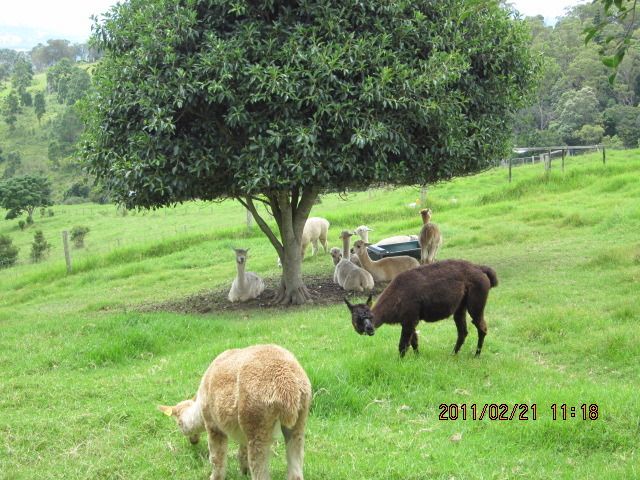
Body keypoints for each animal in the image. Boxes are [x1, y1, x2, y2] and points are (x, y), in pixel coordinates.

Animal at [158, 344, 312, 480]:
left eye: (178, 424)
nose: (193, 441)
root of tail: (287, 386)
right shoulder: (243, 432)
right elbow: (242, 452)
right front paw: (243, 472)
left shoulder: (213, 425)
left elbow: (216, 458)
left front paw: (215, 477)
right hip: (299, 418)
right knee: (296, 470)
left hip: (256, 418)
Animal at [344, 259, 498, 357]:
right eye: (357, 318)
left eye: (370, 316)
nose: (370, 329)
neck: (396, 297)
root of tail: (479, 268)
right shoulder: (408, 320)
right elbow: (414, 342)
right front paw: (418, 358)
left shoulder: (410, 318)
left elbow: (403, 345)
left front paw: (399, 363)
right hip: (461, 305)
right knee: (463, 331)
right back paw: (453, 354)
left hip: (476, 298)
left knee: (481, 327)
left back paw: (477, 354)